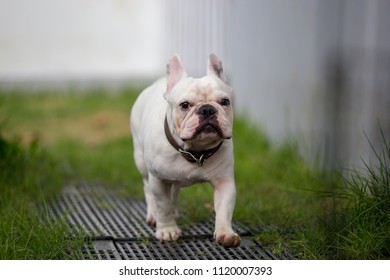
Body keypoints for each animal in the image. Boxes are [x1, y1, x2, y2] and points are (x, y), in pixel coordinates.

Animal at [131, 53, 241, 246]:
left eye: (225, 102)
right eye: (184, 105)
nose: (207, 109)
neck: (195, 151)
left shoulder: (224, 182)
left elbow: (224, 210)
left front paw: (225, 233)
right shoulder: (158, 180)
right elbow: (163, 206)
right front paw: (167, 230)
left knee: (174, 192)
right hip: (142, 163)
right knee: (148, 189)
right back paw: (153, 215)